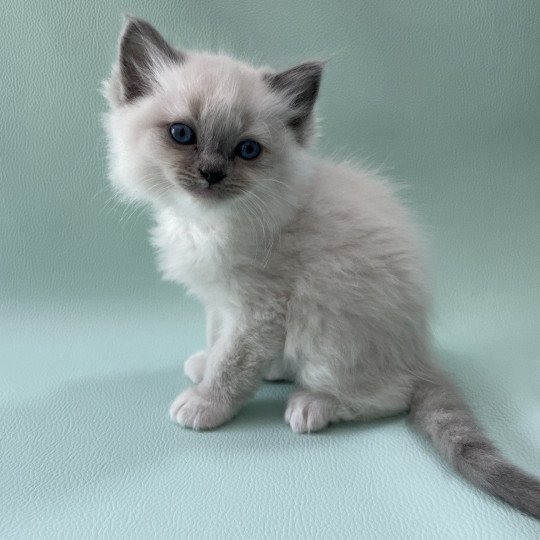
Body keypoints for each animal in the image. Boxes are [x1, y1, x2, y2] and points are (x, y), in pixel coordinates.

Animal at [104, 15, 540, 516]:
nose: (212, 173)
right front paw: (205, 365)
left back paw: (313, 405)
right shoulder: (220, 302)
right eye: (182, 134)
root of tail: (421, 355)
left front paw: (206, 403)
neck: (208, 223)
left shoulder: (260, 311)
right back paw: (277, 370)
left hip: (325, 324)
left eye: (247, 150)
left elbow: (232, 363)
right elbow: (217, 342)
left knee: (390, 395)